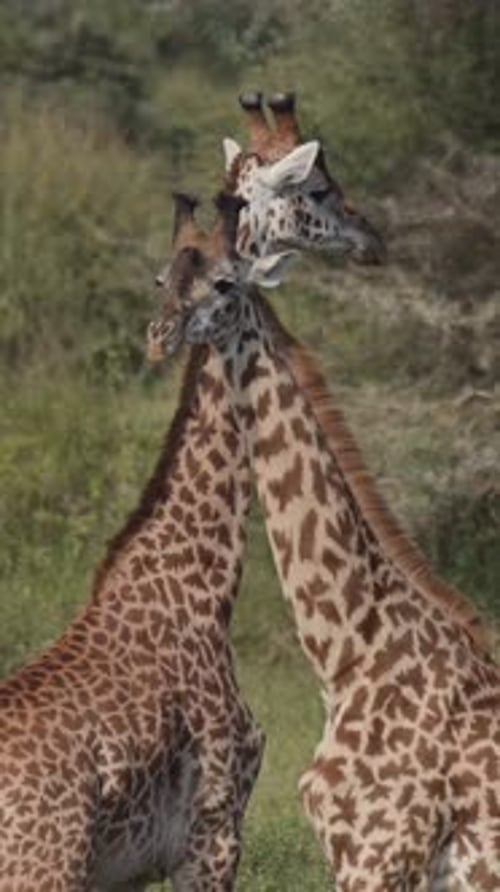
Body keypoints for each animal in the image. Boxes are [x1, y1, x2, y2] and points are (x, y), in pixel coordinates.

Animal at [0, 194, 264, 892]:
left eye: (224, 282)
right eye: (160, 277)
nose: (160, 334)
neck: (205, 584)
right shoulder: (213, 833)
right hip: (45, 870)